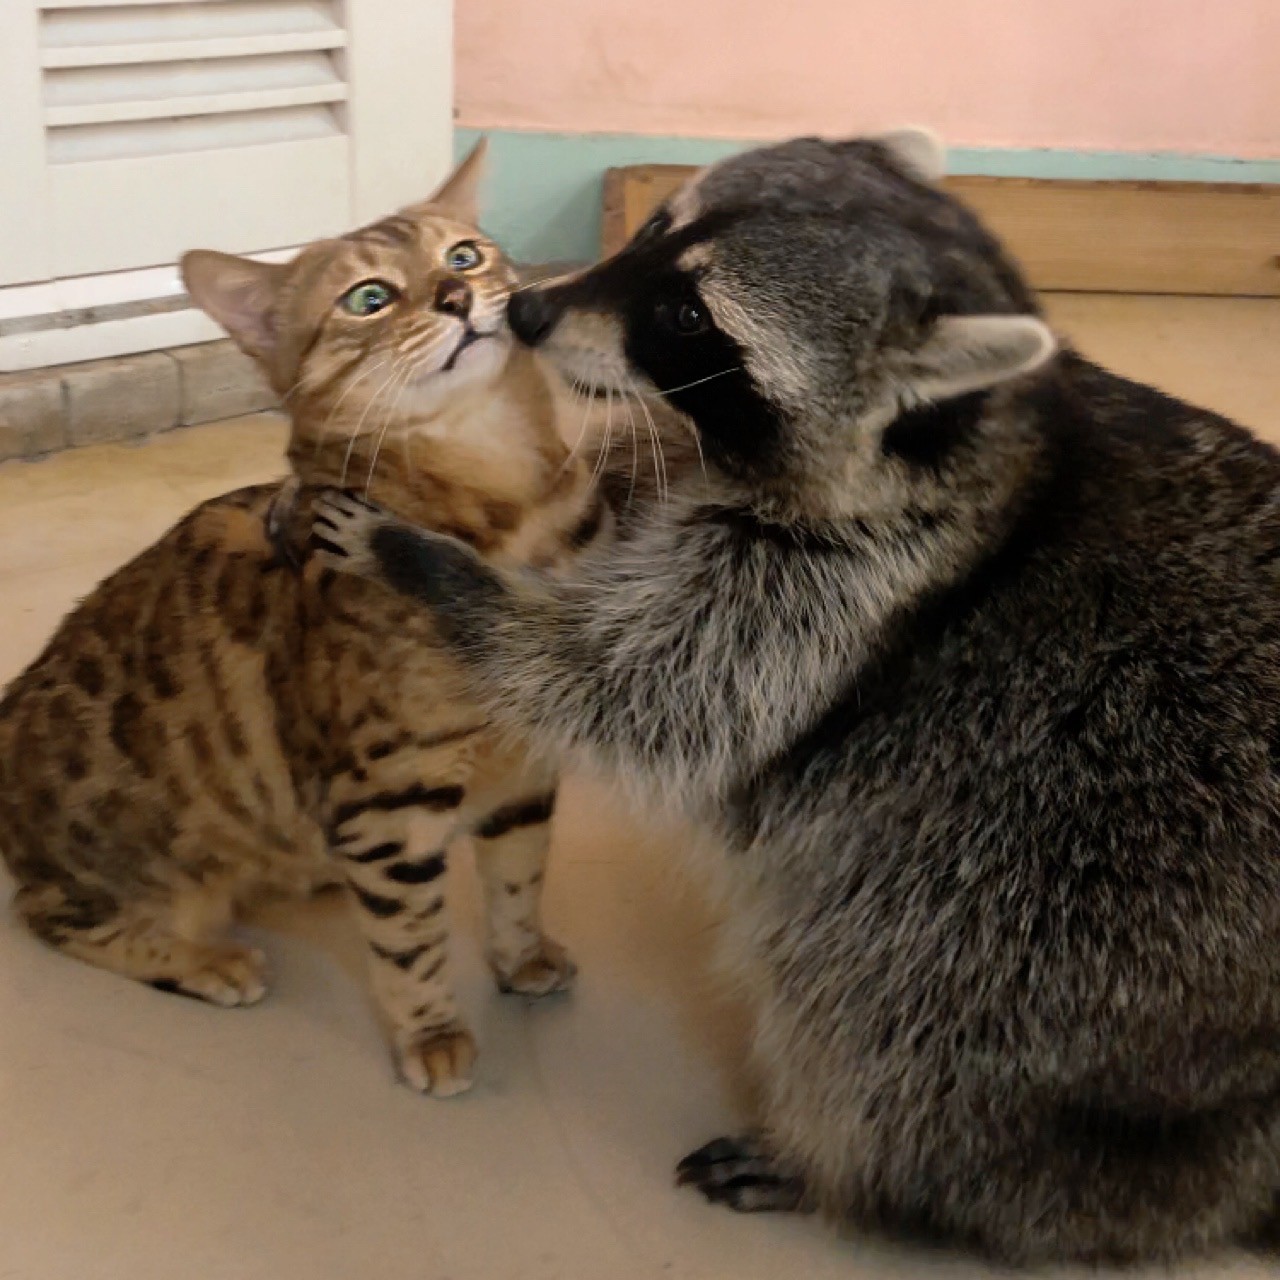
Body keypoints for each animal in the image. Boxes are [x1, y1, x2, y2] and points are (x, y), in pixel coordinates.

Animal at [0, 142, 607, 1098]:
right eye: (369, 298)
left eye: (464, 255)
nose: (455, 295)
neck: (504, 498)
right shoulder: (390, 799)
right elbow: (410, 943)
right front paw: (433, 1034)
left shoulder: (526, 769)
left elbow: (517, 882)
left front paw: (521, 958)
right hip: (144, 853)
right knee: (53, 912)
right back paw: (207, 960)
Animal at [305, 130, 1280, 1262]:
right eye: (652, 228)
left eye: (690, 317)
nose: (529, 314)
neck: (990, 439)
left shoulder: (837, 595)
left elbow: (628, 691)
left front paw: (424, 563)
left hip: (1081, 943)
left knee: (891, 1018)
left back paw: (844, 1160)